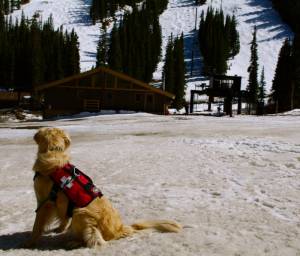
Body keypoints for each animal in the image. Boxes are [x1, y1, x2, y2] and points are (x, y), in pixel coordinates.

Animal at [24, 127, 180, 248]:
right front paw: (60, 229)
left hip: (80, 213)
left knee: (95, 241)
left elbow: (36, 226)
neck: (53, 151)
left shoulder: (43, 203)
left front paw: (28, 244)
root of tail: (119, 229)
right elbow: (64, 219)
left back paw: (74, 242)